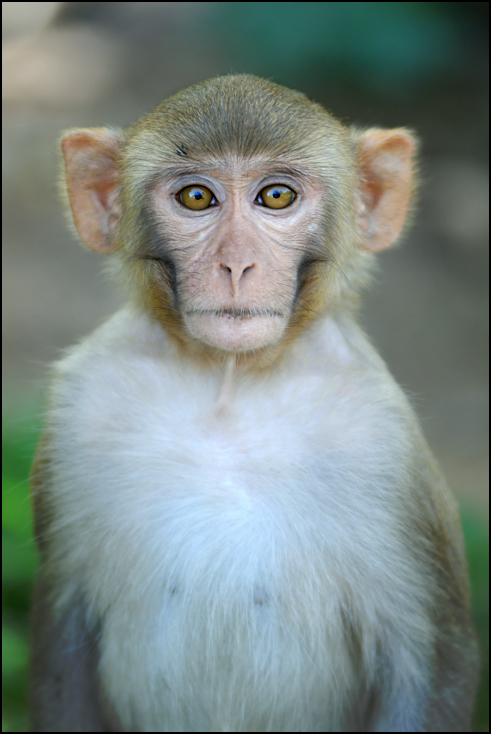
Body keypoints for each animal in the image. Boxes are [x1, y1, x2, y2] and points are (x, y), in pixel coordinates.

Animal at [28, 76, 478, 734]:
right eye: (196, 197)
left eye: (276, 196)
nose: (236, 264)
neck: (230, 388)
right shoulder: (83, 407)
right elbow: (61, 642)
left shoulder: (383, 439)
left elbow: (430, 663)